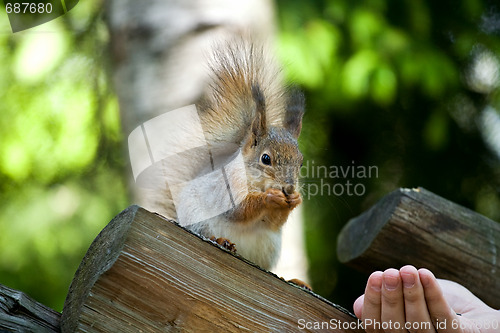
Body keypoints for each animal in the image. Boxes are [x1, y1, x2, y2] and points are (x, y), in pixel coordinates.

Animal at [139, 39, 306, 272]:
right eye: (266, 159)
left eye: (300, 163)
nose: (289, 188)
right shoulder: (226, 187)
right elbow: (239, 210)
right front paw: (269, 197)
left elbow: (275, 221)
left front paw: (295, 199)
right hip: (199, 220)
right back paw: (220, 240)